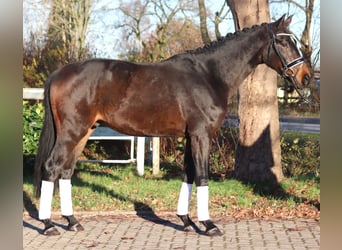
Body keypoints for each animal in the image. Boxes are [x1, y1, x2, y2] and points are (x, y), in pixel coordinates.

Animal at [34, 15, 310, 236]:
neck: (209, 75)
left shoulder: (190, 136)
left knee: (65, 171)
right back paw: (47, 225)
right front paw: (209, 225)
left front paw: (187, 222)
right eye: (284, 42)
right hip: (72, 132)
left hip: (83, 133)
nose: (305, 77)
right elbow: (202, 176)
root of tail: (59, 73)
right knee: (51, 167)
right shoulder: (201, 135)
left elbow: (188, 174)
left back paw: (72, 222)